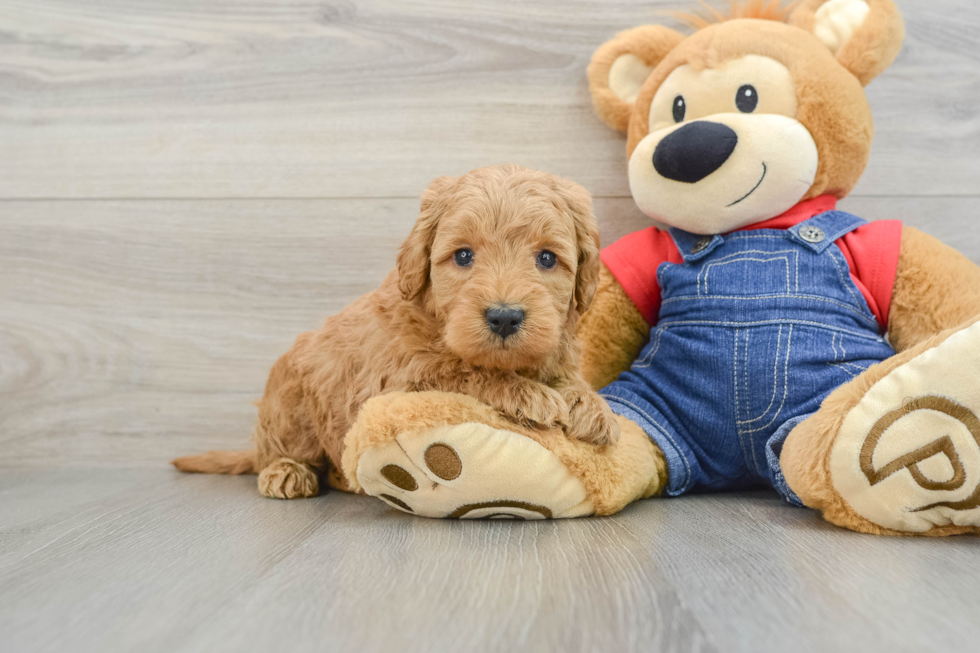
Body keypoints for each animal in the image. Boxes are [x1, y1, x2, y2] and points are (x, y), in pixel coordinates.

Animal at [174, 164, 620, 500]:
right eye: (463, 256)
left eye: (547, 258)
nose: (505, 317)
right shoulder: (399, 380)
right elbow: (464, 373)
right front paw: (529, 396)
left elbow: (566, 377)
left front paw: (591, 406)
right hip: (289, 406)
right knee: (278, 452)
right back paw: (285, 472)